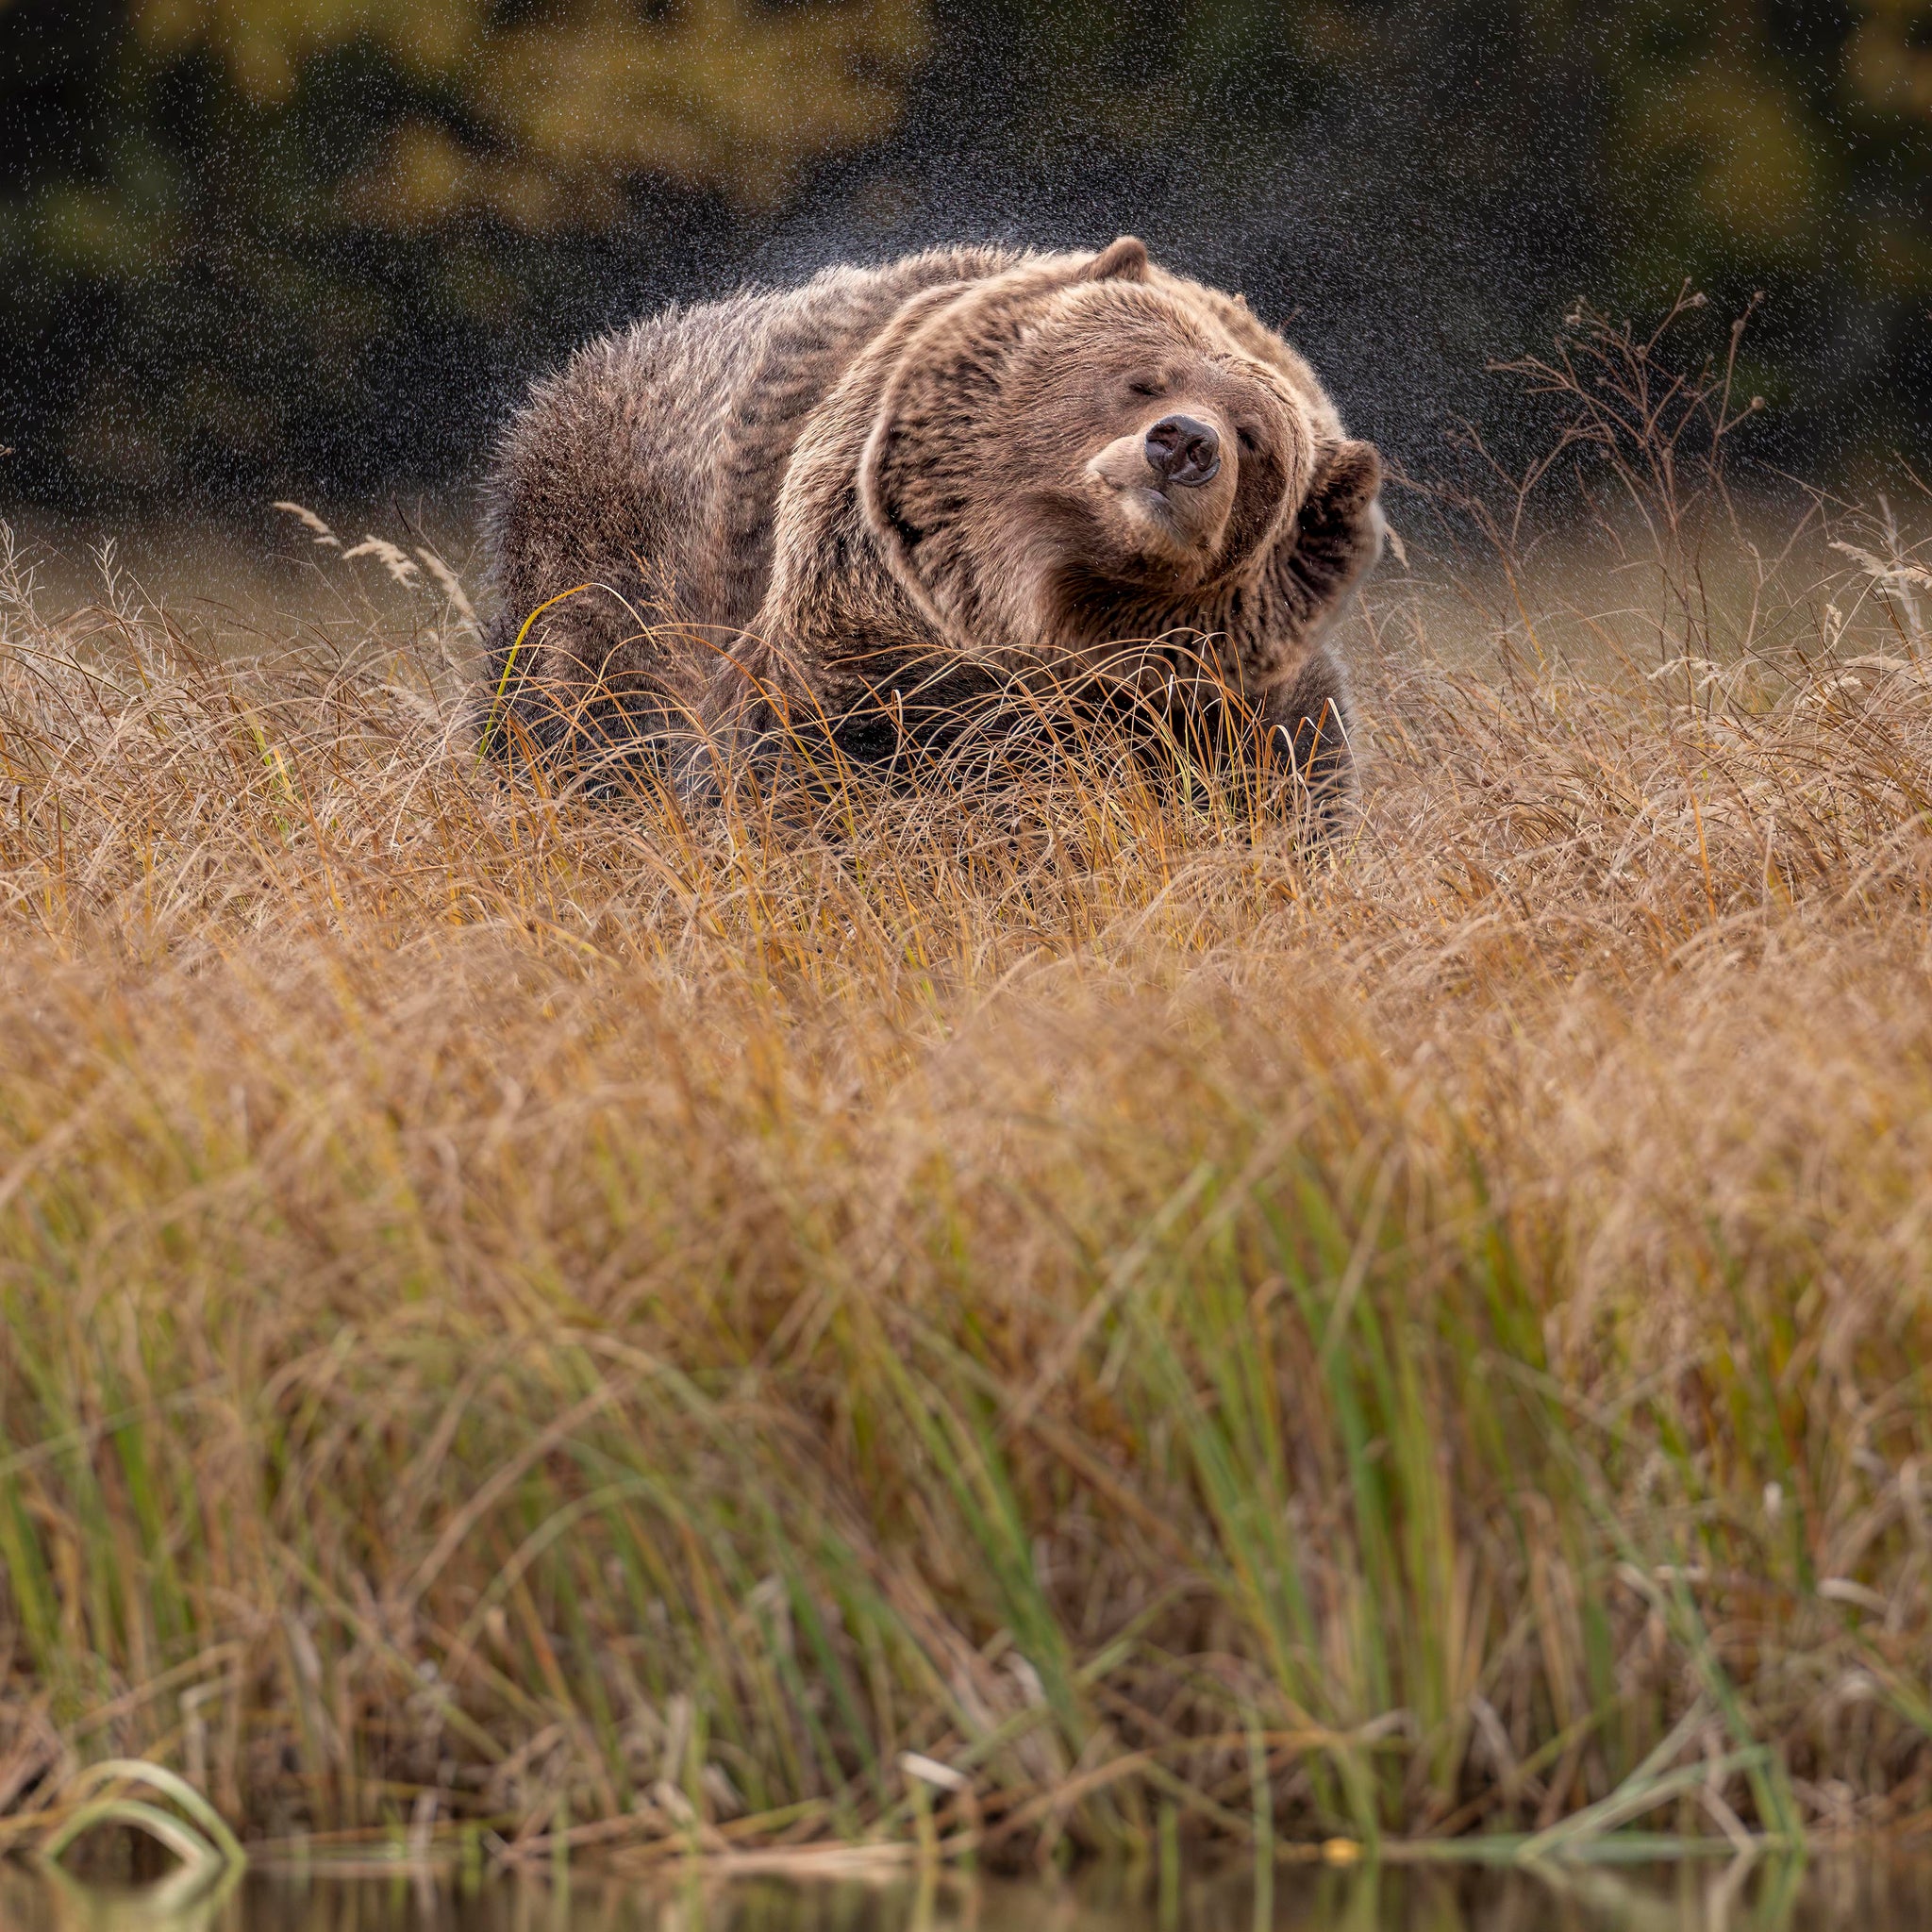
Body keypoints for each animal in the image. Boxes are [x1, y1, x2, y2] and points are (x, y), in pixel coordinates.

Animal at [483, 235, 1391, 823]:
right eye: (1141, 380)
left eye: (1255, 437)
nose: (1183, 443)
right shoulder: (860, 645)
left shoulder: (1235, 713)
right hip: (594, 581)